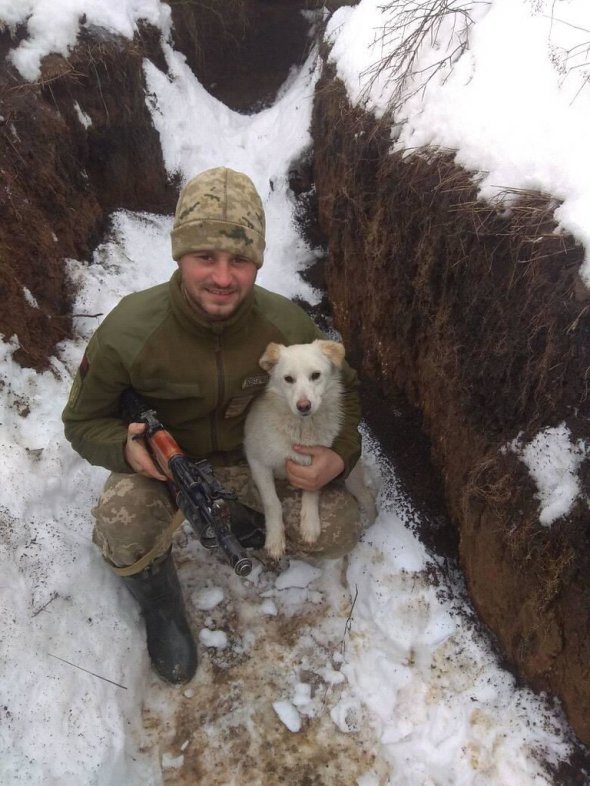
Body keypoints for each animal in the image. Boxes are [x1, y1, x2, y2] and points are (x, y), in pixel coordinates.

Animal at [244, 336, 374, 556]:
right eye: (288, 379)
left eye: (315, 375)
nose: (303, 406)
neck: (302, 428)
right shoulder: (257, 462)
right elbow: (272, 503)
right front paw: (275, 538)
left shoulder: (318, 465)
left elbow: (312, 492)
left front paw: (310, 524)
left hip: (352, 480)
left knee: (369, 500)